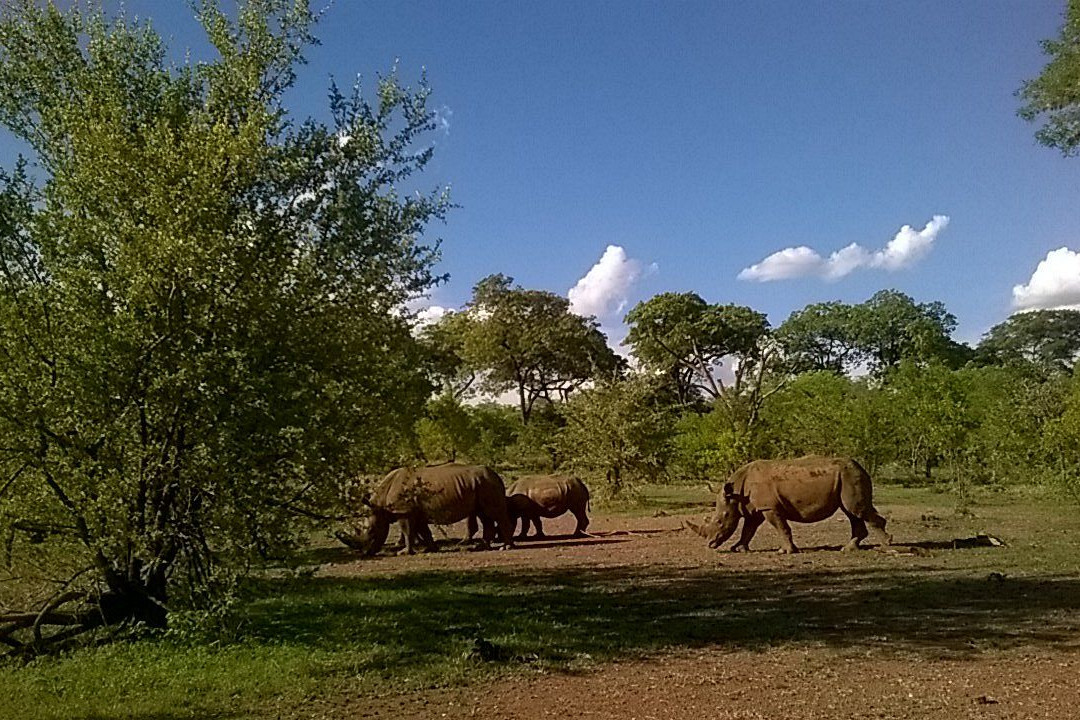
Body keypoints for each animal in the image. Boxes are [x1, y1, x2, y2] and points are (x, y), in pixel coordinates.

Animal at [337, 463, 515, 555]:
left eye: (371, 531)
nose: (365, 553)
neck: (380, 504)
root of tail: (497, 475)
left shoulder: (404, 511)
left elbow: (408, 531)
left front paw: (404, 552)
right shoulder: (416, 512)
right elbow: (424, 531)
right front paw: (431, 549)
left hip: (487, 483)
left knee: (495, 514)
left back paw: (505, 547)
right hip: (480, 484)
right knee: (484, 515)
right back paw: (482, 547)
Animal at [686, 456, 892, 554]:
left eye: (720, 521)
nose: (710, 544)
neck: (736, 492)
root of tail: (861, 467)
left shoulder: (769, 507)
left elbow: (781, 527)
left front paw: (785, 551)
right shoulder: (755, 508)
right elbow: (748, 529)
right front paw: (738, 548)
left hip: (851, 476)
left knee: (856, 510)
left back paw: (886, 545)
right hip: (847, 476)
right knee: (852, 513)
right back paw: (848, 549)